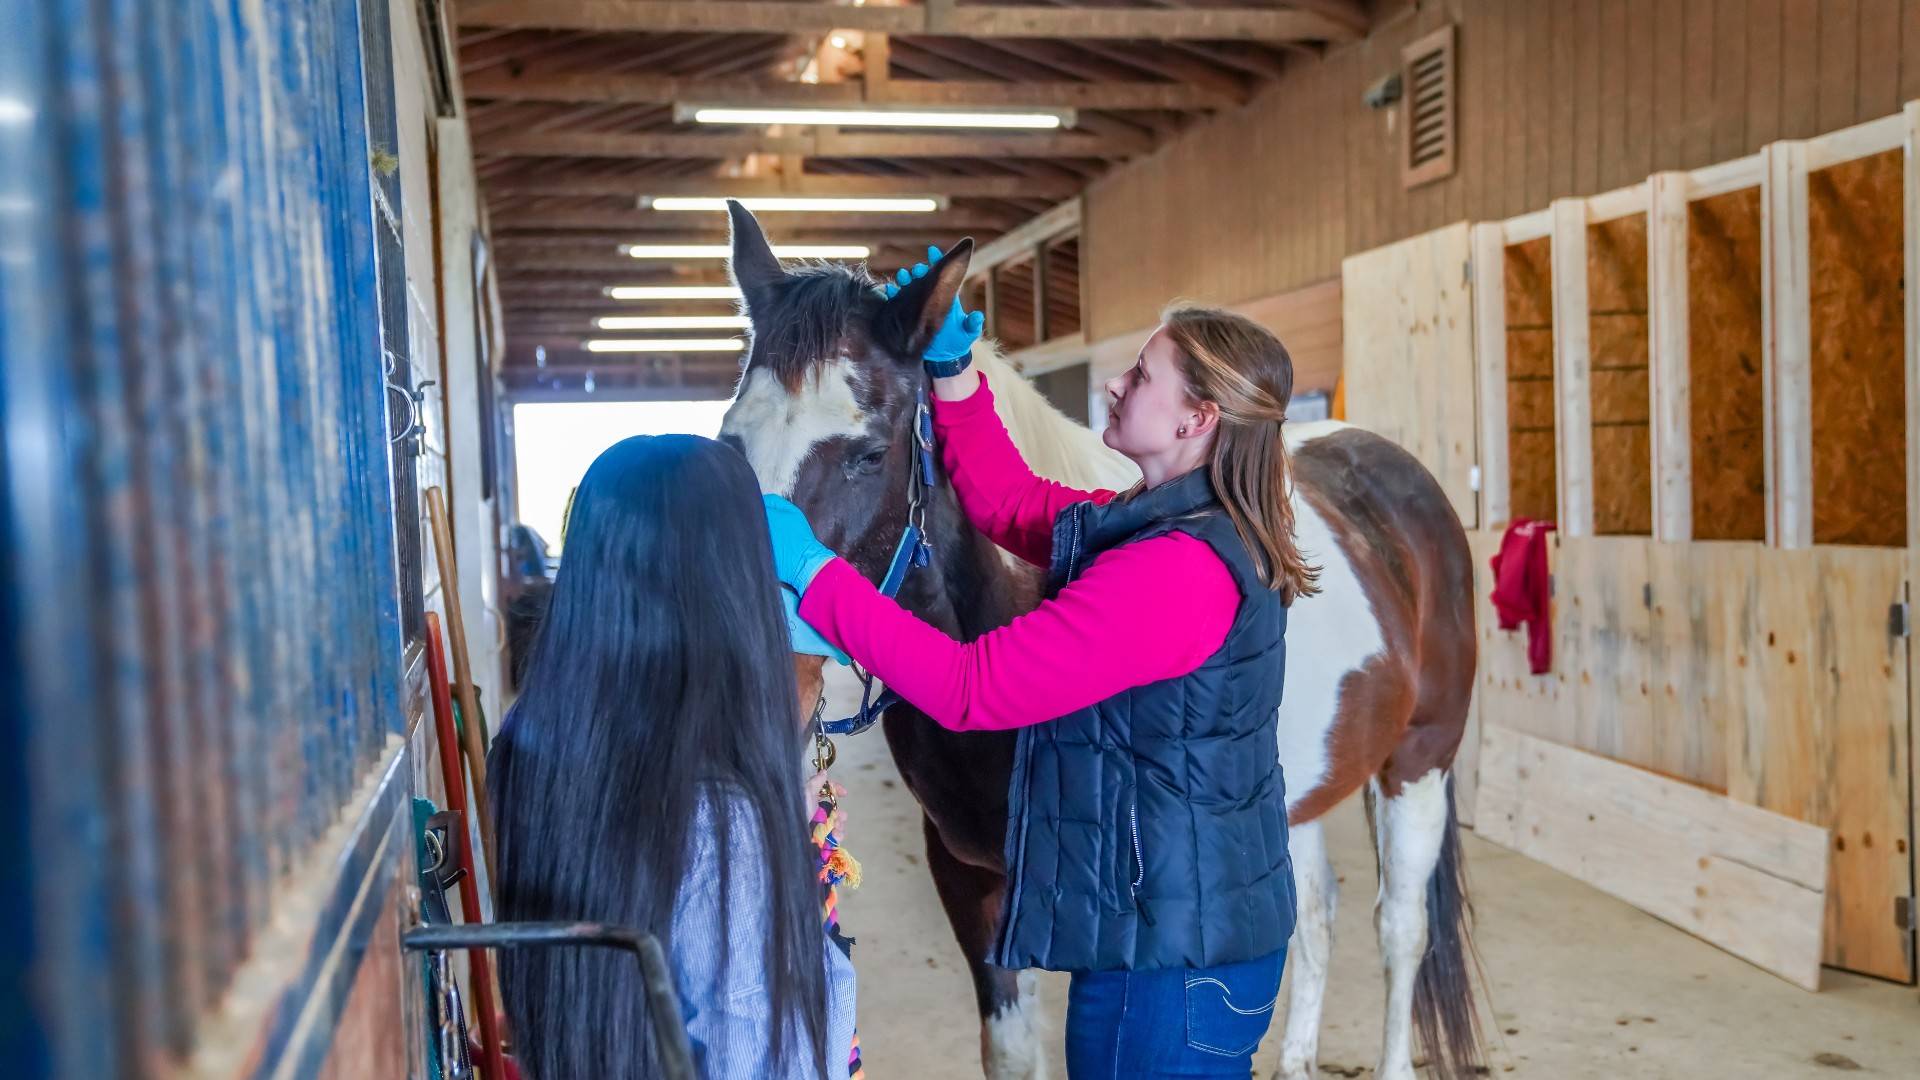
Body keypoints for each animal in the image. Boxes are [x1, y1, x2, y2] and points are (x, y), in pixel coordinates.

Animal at [721, 203, 1482, 1076]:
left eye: (870, 453)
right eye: (729, 442)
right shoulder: (967, 881)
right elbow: (1011, 1051)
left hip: (1418, 764)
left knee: (1401, 931)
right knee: (1316, 911)